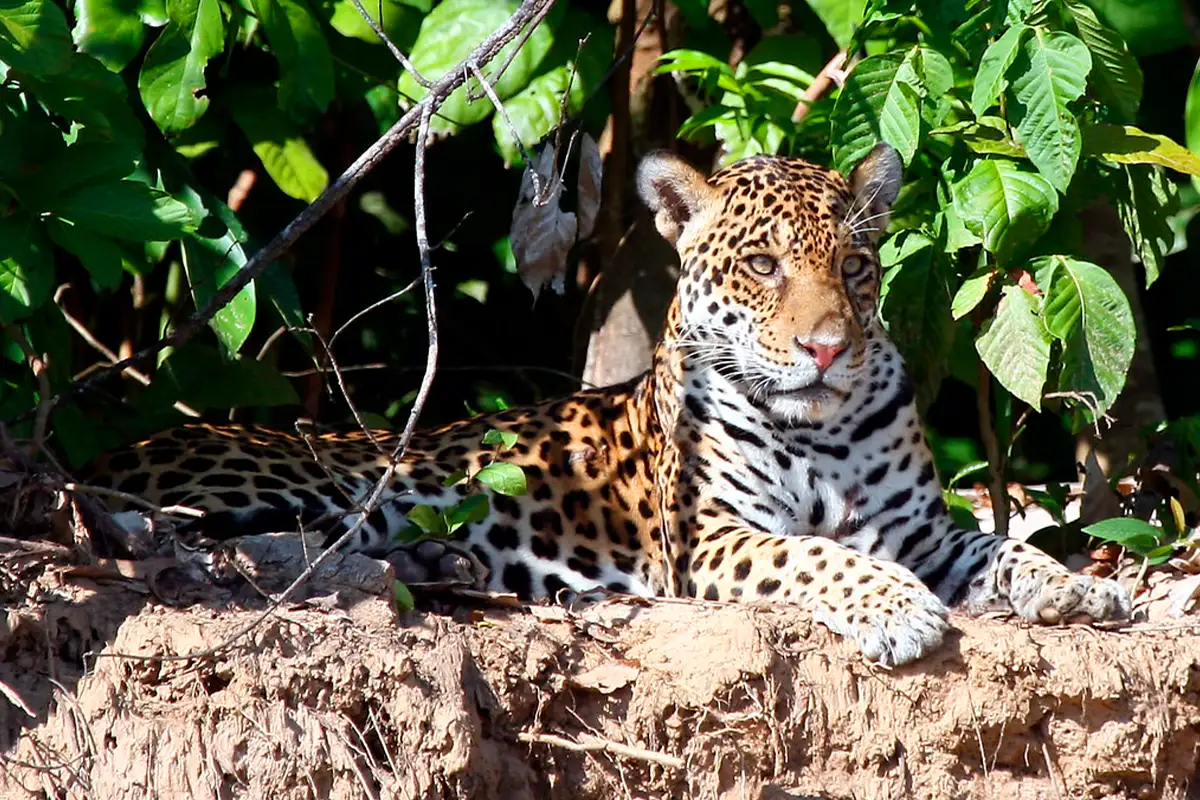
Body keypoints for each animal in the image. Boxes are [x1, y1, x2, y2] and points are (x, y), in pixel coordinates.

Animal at [87, 144, 1131, 666]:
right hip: (303, 477)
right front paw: (899, 610)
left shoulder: (919, 527)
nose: (828, 347)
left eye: (854, 266)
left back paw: (446, 559)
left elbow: (997, 545)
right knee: (181, 531)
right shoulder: (710, 537)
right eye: (764, 266)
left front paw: (1078, 586)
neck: (824, 428)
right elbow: (821, 556)